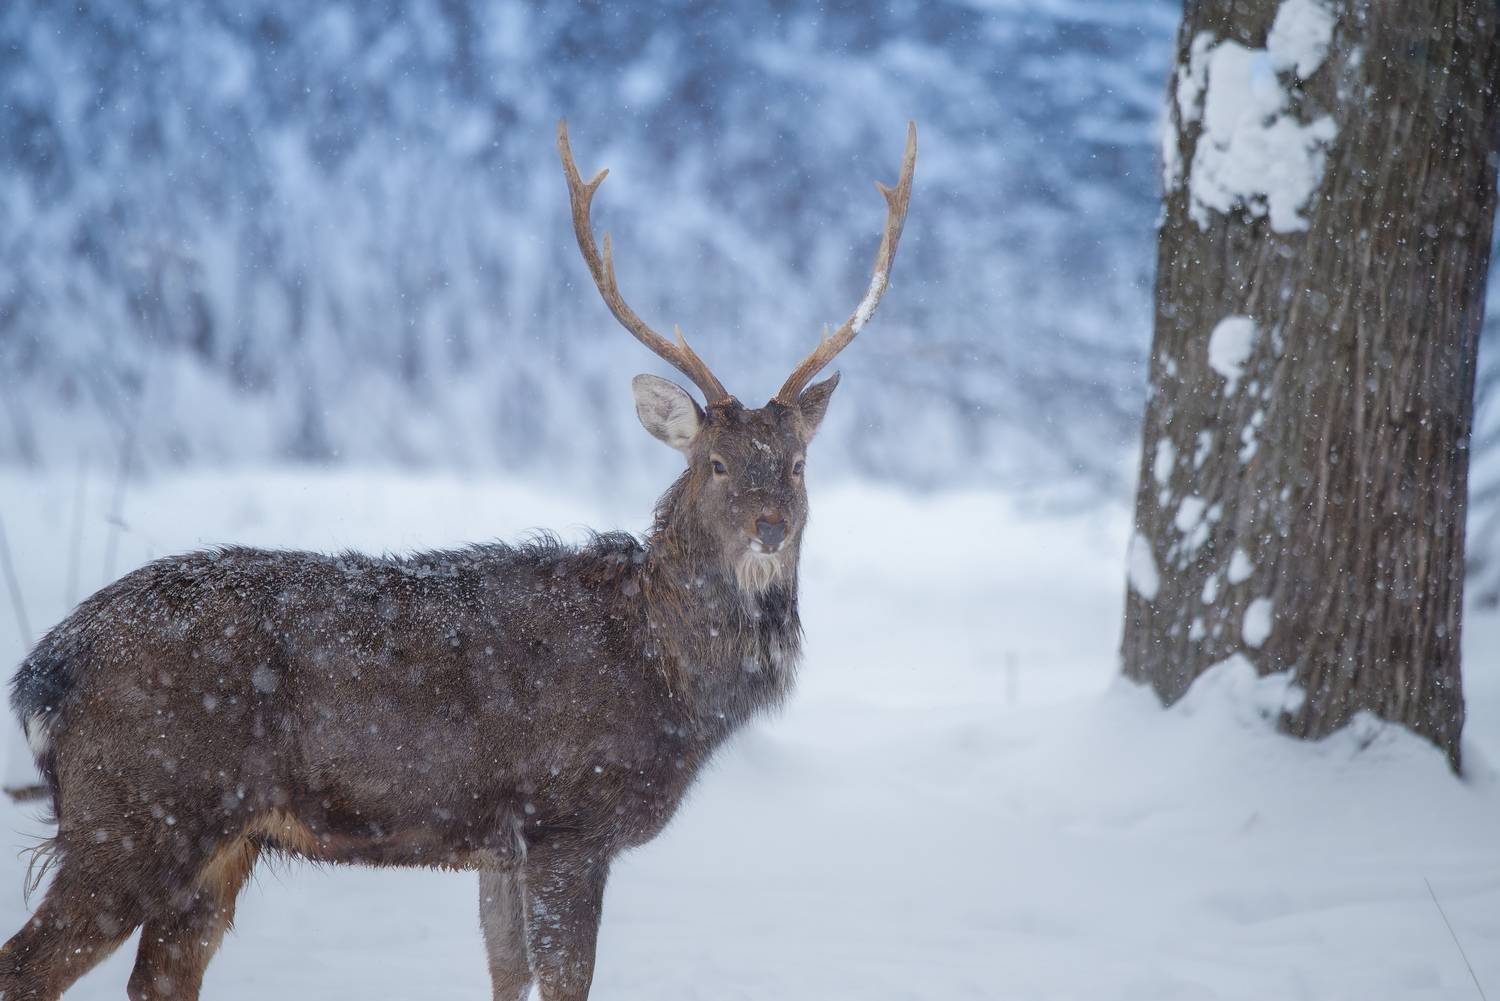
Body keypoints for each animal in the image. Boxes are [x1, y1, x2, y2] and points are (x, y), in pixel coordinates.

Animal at [0, 119, 916, 1001]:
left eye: (796, 463)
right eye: (716, 463)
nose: (769, 527)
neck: (666, 670)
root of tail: (47, 667)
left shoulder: (498, 846)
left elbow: (506, 975)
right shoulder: (567, 817)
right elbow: (567, 981)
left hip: (218, 839)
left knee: (159, 977)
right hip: (138, 809)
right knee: (31, 967)